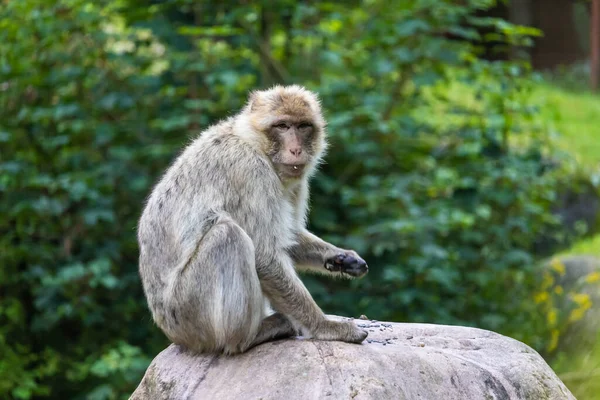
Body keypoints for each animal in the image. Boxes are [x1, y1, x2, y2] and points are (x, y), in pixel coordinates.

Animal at [138, 84, 368, 354]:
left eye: (303, 126)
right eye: (282, 126)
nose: (296, 150)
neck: (252, 142)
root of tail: (173, 334)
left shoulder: (295, 182)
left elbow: (289, 237)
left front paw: (341, 258)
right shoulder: (250, 172)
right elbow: (265, 255)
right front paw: (326, 327)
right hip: (188, 313)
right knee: (227, 236)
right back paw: (247, 336)